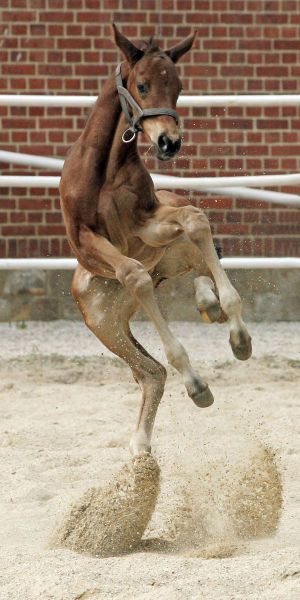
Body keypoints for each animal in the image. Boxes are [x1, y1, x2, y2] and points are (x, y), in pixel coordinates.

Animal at [59, 23, 252, 454]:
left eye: (178, 86)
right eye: (143, 85)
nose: (169, 142)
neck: (106, 169)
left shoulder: (147, 223)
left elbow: (196, 220)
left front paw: (239, 335)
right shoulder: (89, 240)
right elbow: (133, 274)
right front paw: (195, 382)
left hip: (169, 253)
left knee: (200, 260)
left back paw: (215, 311)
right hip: (105, 323)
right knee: (151, 372)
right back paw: (143, 447)